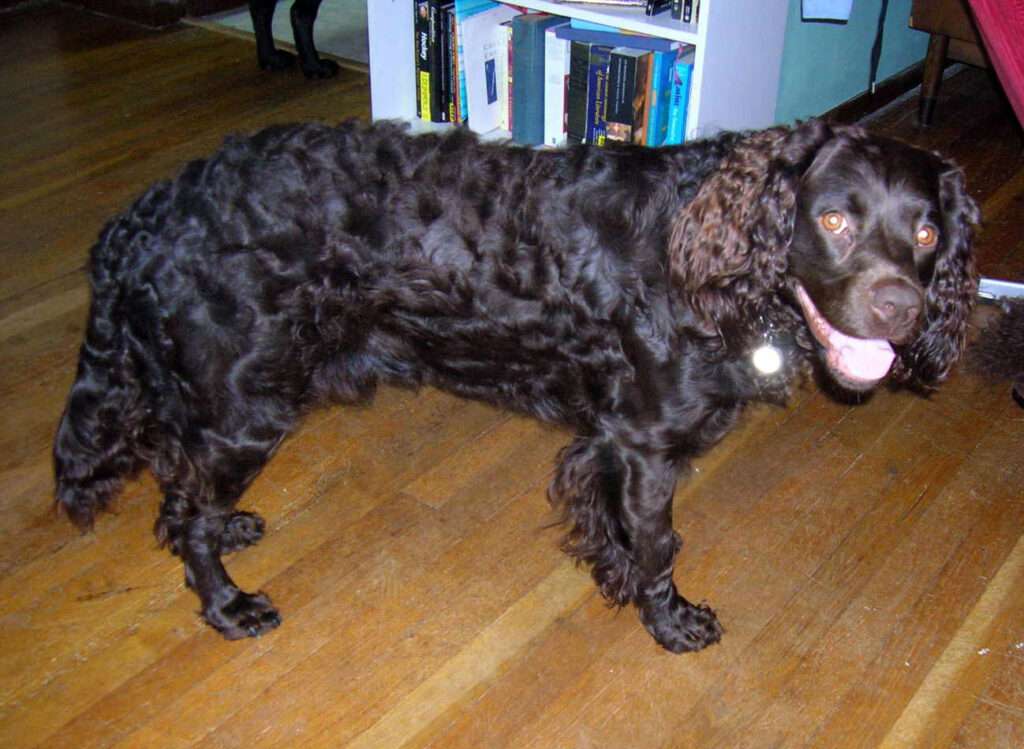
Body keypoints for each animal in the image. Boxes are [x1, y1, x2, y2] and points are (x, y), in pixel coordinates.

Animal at [54, 119, 974, 651]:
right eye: (833, 218)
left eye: (929, 232)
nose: (899, 308)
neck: (701, 257)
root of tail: (142, 219)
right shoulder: (648, 446)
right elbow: (661, 544)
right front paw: (670, 620)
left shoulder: (609, 440)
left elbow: (613, 527)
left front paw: (614, 577)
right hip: (247, 406)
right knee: (185, 512)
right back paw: (228, 607)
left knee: (181, 488)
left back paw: (235, 528)